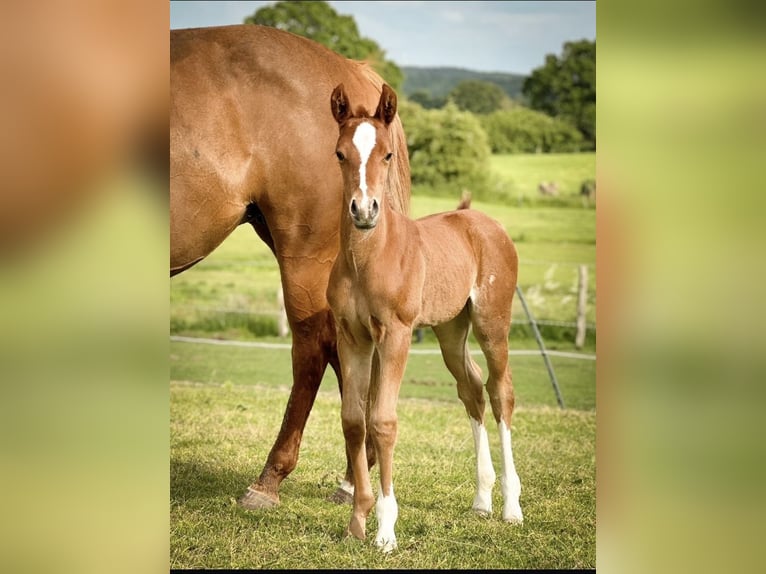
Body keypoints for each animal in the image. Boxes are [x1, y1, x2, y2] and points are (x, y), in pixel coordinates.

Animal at [328, 82, 524, 552]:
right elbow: (353, 421)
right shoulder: (352, 337)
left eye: (388, 155)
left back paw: (511, 507)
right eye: (340, 153)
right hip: (451, 330)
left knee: (500, 392)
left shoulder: (395, 335)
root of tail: (481, 220)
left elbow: (382, 422)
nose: (364, 210)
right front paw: (356, 523)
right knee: (472, 390)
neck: (367, 257)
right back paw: (481, 500)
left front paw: (385, 531)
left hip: (492, 324)